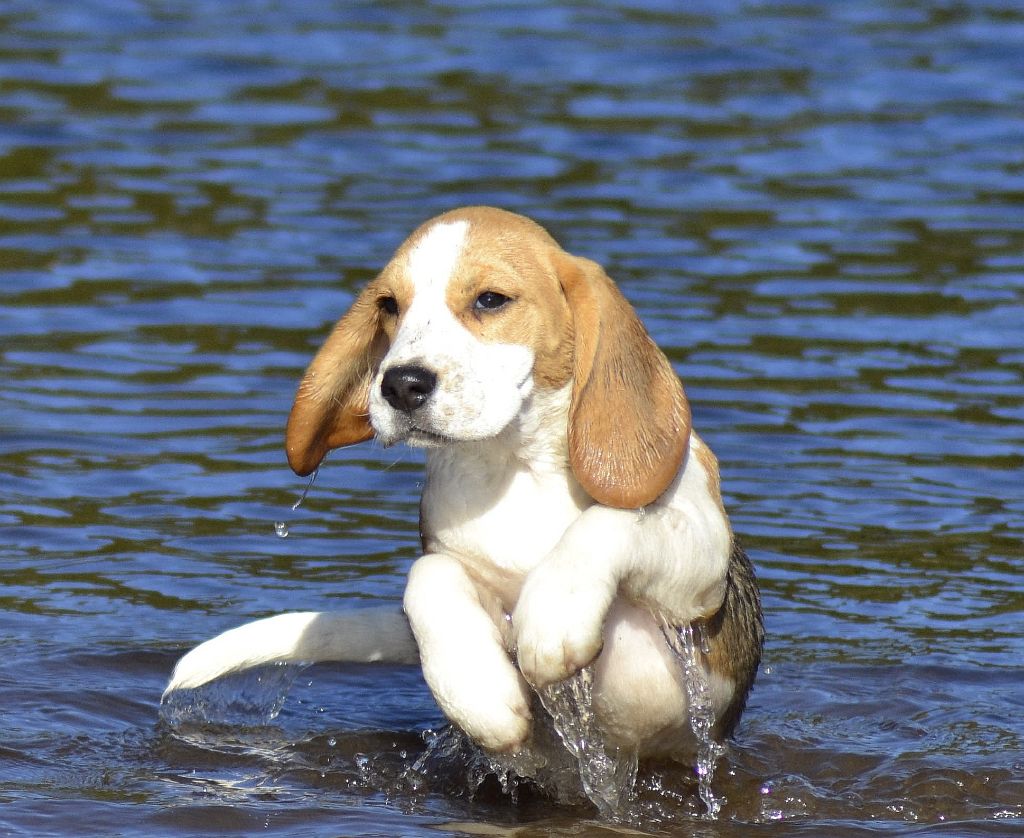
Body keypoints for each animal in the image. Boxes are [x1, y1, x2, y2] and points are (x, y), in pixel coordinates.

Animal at [165, 206, 761, 762]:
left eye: (491, 300)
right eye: (389, 305)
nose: (401, 384)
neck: (517, 468)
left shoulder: (699, 570)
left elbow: (611, 520)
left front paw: (554, 615)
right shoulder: (451, 560)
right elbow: (427, 575)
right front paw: (480, 692)